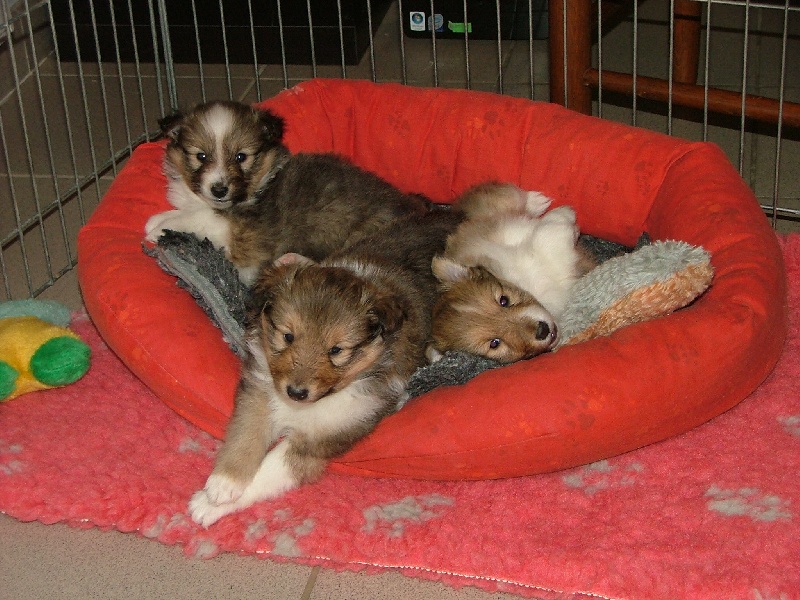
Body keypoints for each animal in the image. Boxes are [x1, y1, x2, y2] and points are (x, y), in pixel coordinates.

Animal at [143, 100, 432, 284]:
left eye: (241, 157)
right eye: (201, 156)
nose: (219, 189)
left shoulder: (244, 238)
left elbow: (203, 218)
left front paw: (159, 228)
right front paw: (160, 218)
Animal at [188, 210, 462, 524]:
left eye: (336, 350)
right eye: (288, 336)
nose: (296, 393)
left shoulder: (322, 437)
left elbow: (270, 469)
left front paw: (206, 504)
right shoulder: (259, 390)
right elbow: (247, 431)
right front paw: (223, 483)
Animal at [424, 180, 592, 364]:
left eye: (503, 300)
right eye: (495, 343)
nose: (542, 330)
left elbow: (544, 231)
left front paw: (566, 216)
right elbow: (547, 238)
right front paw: (566, 224)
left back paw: (538, 201)